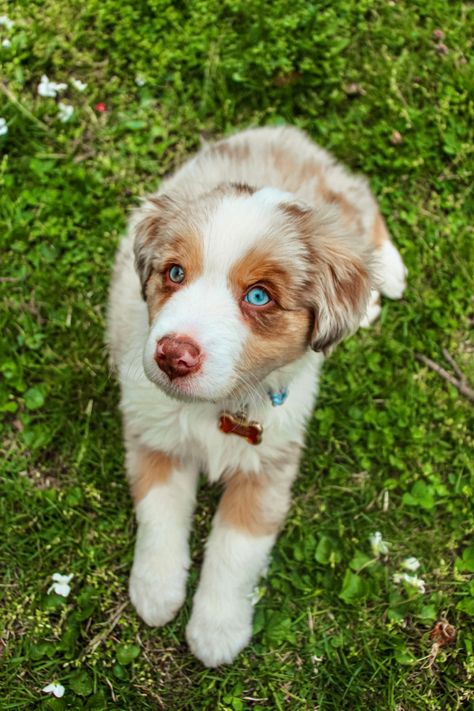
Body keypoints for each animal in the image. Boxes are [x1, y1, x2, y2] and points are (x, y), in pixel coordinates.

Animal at [107, 124, 408, 668]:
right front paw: (156, 592)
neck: (219, 408)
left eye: (259, 296)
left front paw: (216, 631)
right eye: (175, 273)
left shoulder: (269, 466)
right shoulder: (153, 434)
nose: (172, 356)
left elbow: (235, 549)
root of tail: (284, 133)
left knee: (363, 199)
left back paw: (387, 275)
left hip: (342, 205)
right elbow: (159, 513)